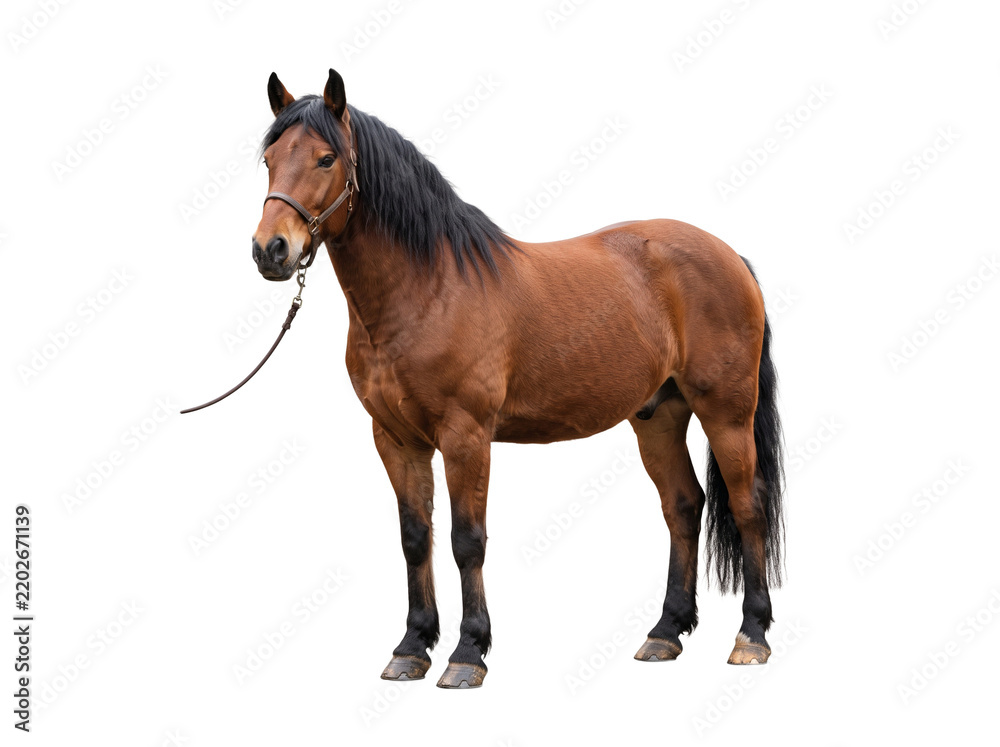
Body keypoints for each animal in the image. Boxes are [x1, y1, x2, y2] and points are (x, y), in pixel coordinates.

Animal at [251, 68, 785, 688]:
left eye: (326, 158)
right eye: (269, 158)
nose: (270, 250)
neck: (428, 287)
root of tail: (730, 256)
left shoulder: (466, 436)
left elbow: (467, 540)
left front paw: (467, 653)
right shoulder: (397, 440)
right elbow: (415, 537)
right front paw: (412, 646)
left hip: (727, 412)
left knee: (748, 506)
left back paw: (752, 635)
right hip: (659, 416)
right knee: (683, 505)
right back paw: (665, 633)